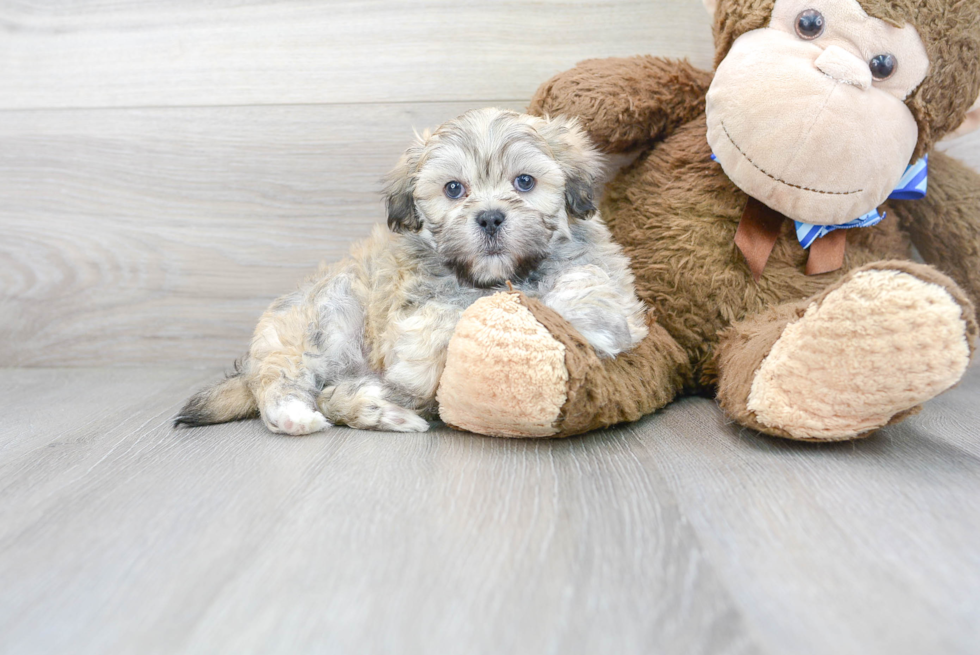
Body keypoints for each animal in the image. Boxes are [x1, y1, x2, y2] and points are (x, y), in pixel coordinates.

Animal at [174, 107, 652, 436]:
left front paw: (586, 320)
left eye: (525, 182)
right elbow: (443, 323)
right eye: (454, 189)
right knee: (284, 380)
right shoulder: (414, 318)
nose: (490, 218)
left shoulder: (616, 288)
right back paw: (299, 414)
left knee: (329, 394)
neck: (495, 277)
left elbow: (593, 286)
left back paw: (380, 408)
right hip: (324, 317)